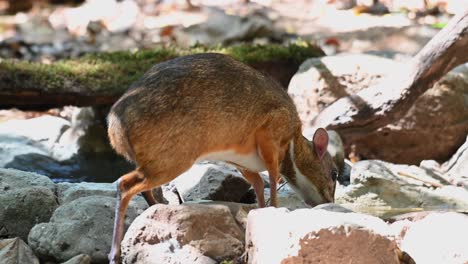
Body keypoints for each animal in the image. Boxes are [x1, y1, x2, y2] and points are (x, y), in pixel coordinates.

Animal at [108, 52, 338, 262]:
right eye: (334, 173)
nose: (329, 202)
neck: (293, 144)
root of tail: (115, 128)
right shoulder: (270, 137)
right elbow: (272, 179)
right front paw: (275, 210)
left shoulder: (243, 162)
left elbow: (257, 185)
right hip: (171, 161)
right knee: (124, 184)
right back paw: (114, 253)